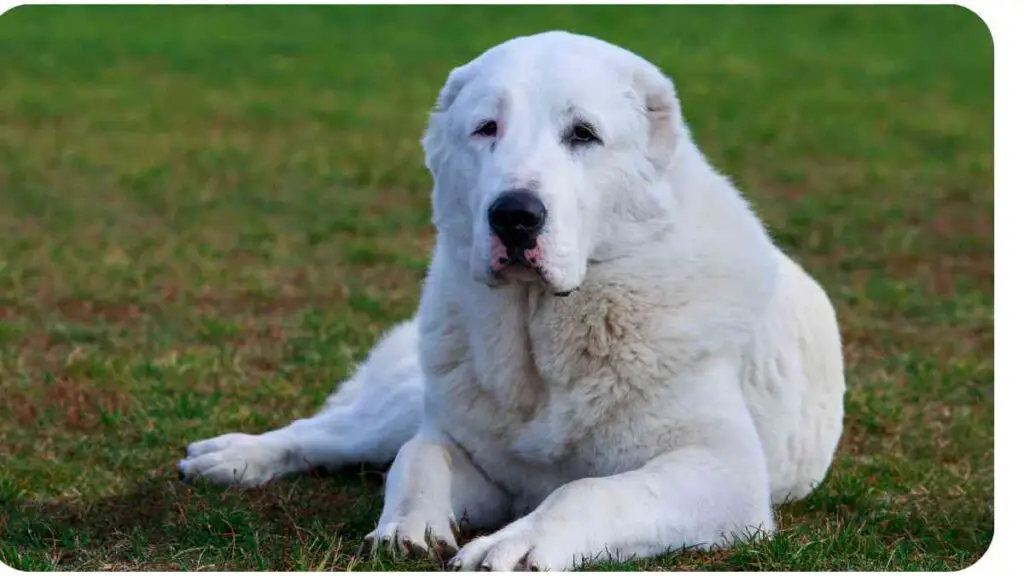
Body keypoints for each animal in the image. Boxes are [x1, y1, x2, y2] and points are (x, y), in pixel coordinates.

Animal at [178, 31, 847, 569]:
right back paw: (235, 457)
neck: (540, 333)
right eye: (487, 129)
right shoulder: (469, 454)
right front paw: (407, 526)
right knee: (333, 433)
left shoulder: (723, 472)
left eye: (583, 135)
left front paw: (518, 543)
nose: (515, 216)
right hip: (404, 401)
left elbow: (588, 489)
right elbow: (420, 458)